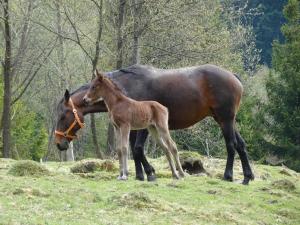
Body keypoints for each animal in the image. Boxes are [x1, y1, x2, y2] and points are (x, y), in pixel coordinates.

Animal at [55, 63, 254, 185]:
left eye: (63, 116)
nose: (59, 144)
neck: (127, 88)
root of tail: (233, 76)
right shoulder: (133, 127)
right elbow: (131, 149)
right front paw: (140, 174)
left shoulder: (141, 127)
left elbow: (136, 149)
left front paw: (148, 173)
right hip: (226, 120)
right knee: (241, 145)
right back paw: (247, 177)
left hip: (225, 120)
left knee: (231, 145)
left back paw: (228, 176)